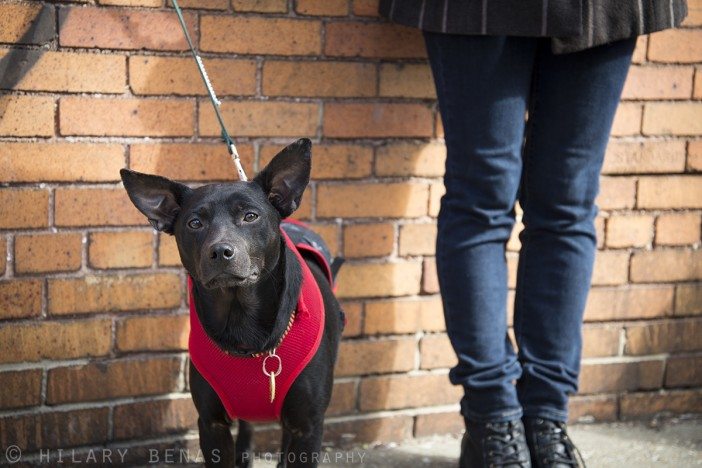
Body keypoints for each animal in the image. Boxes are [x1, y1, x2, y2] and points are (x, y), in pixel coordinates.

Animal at [121, 137, 346, 466]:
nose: (220, 251)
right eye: (195, 223)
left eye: (250, 216)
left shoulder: (308, 426)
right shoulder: (211, 424)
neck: (241, 317)